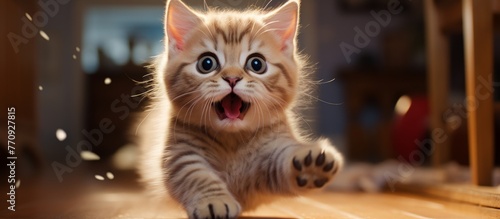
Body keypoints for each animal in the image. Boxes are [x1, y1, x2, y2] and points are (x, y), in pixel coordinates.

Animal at [139, 0, 344, 217]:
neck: (232, 139)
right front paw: (213, 201)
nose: (232, 78)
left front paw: (310, 166)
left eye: (256, 64)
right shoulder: (181, 152)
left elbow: (281, 160)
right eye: (207, 63)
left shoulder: (269, 155)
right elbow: (196, 175)